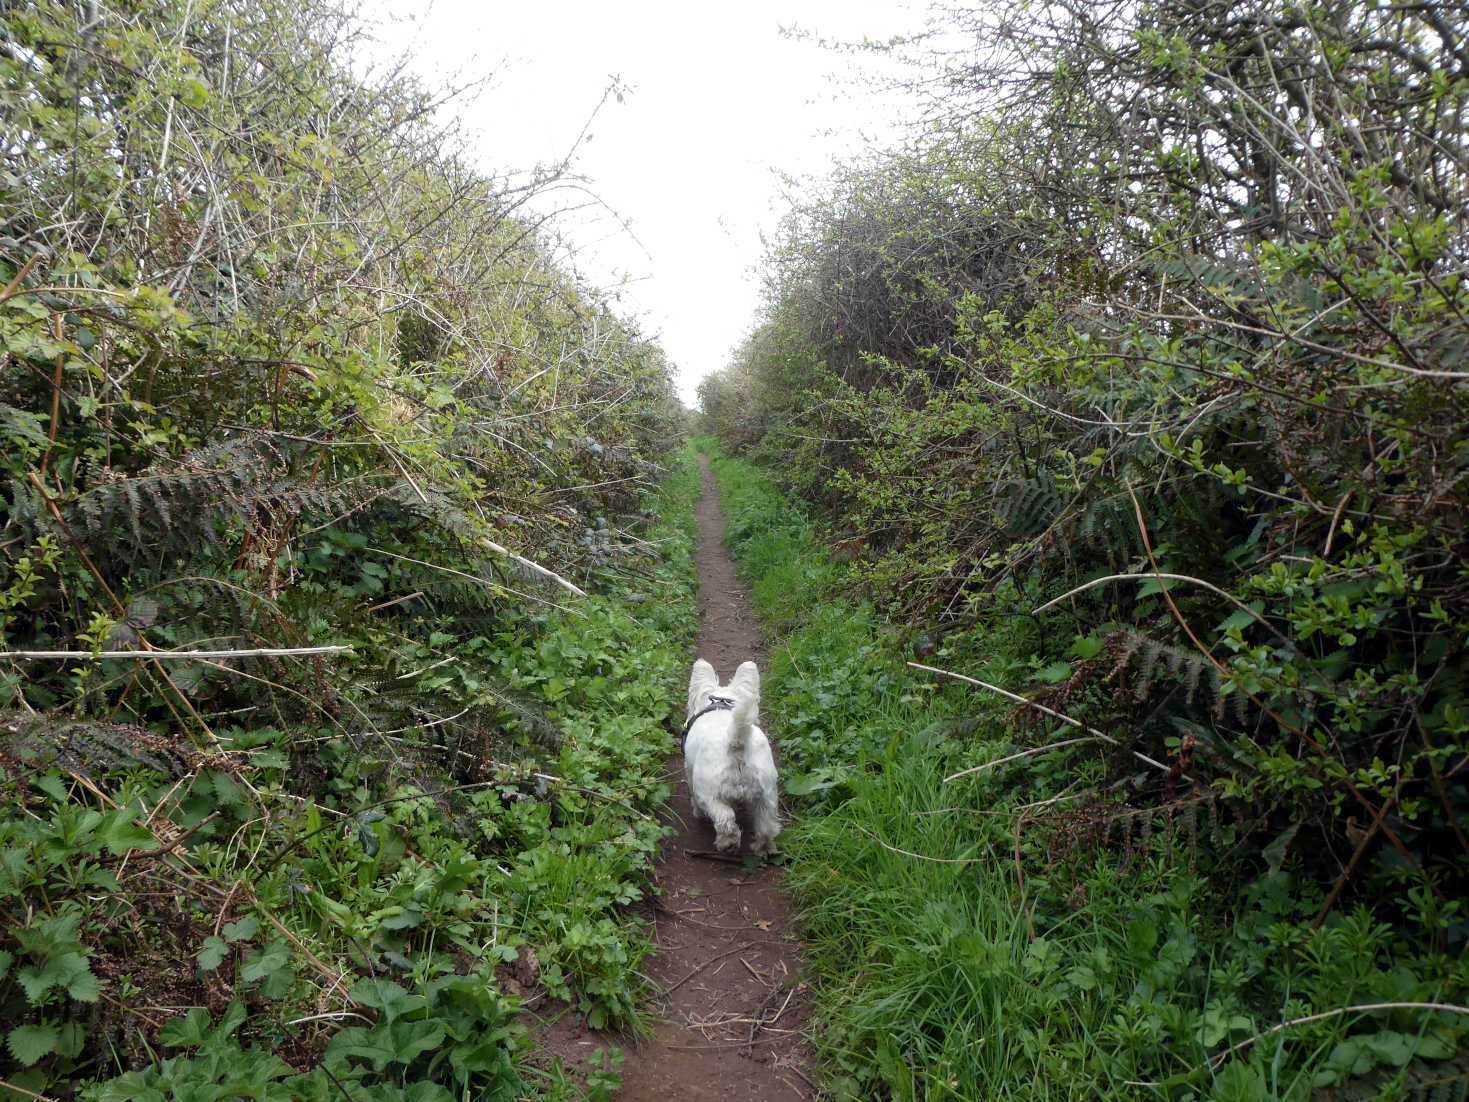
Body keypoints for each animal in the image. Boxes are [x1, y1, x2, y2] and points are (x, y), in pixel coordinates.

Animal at [684, 661, 781, 858]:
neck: (721, 705)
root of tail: (736, 742)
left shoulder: (689, 772)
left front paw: (696, 813)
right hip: (767, 794)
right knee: (766, 827)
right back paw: (763, 849)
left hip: (709, 793)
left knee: (726, 821)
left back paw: (726, 844)